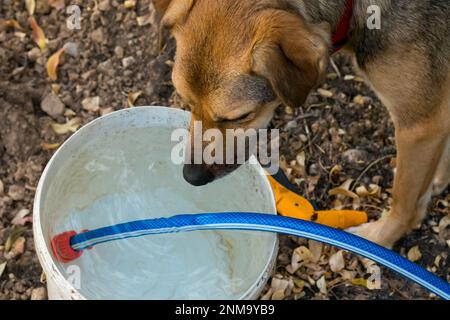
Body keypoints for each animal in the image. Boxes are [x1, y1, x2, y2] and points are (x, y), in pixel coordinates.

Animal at [153, 0, 448, 248]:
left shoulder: (419, 126)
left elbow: (404, 202)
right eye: (188, 104)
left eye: (237, 117)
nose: (191, 177)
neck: (352, 8)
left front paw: (379, 238)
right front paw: (439, 178)